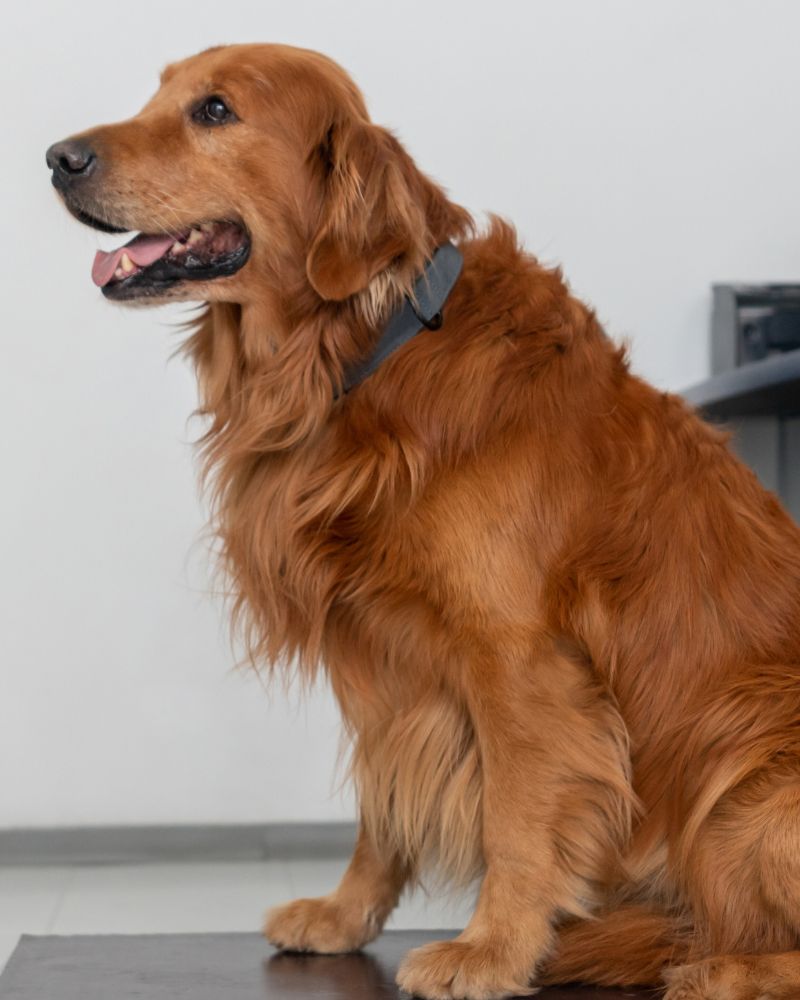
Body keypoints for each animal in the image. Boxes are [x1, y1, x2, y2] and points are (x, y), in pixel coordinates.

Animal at [47, 41, 800, 1000]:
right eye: (158, 93)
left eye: (214, 110)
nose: (57, 157)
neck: (363, 349)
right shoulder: (383, 655)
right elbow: (383, 806)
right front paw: (343, 915)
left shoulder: (518, 660)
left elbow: (518, 819)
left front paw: (492, 950)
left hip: (750, 778)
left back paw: (722, 965)